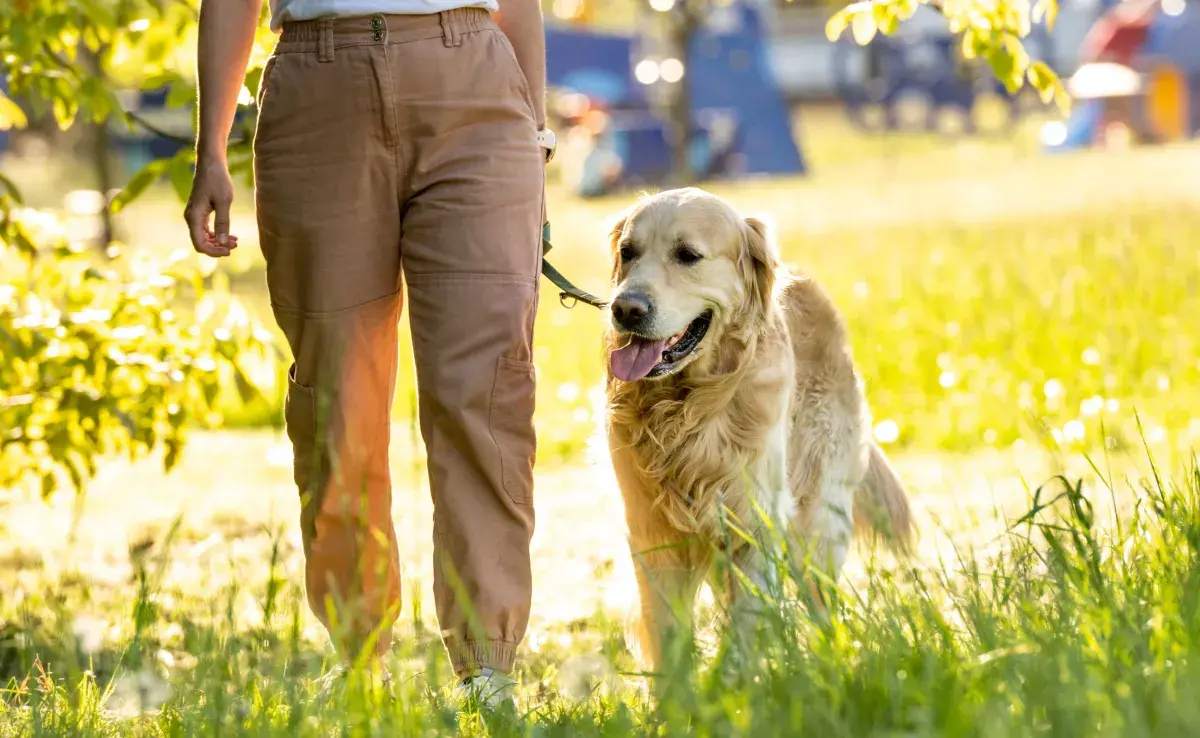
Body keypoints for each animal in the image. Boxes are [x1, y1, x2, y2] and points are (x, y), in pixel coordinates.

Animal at [604, 187, 912, 672]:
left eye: (688, 255)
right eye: (628, 252)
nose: (625, 308)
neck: (691, 407)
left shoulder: (754, 523)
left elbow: (747, 627)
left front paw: (739, 687)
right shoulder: (652, 531)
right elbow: (670, 638)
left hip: (818, 521)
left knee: (821, 603)